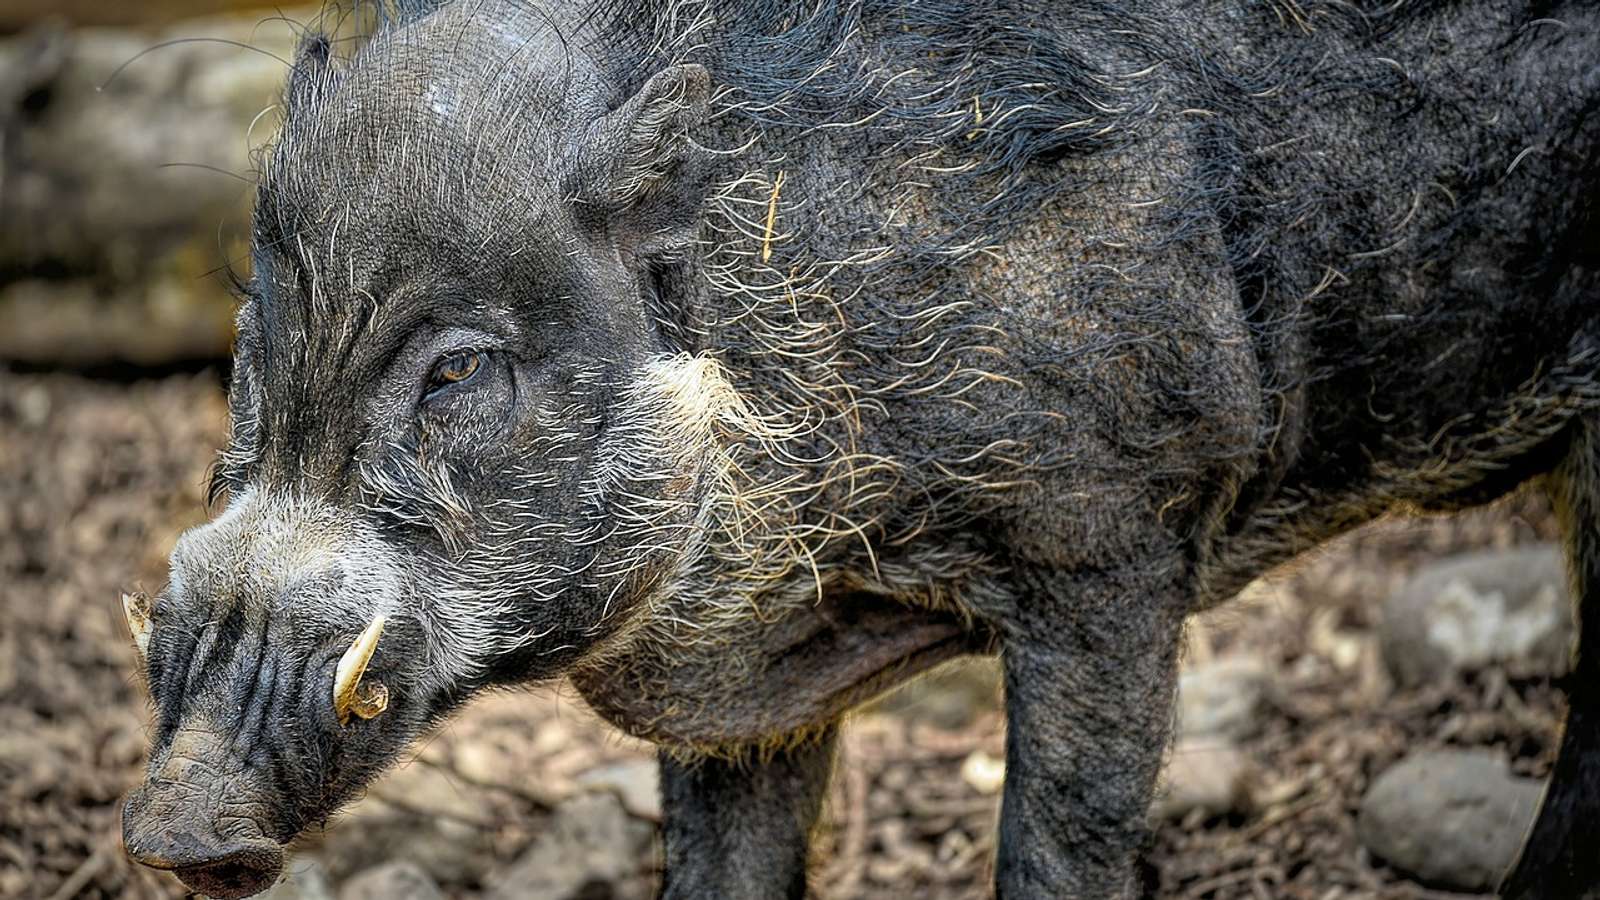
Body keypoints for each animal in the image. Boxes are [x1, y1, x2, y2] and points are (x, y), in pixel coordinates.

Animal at [118, 0, 1600, 897]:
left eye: (459, 369)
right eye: (254, 328)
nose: (176, 830)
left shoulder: (1120, 531)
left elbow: (1065, 836)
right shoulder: (747, 696)